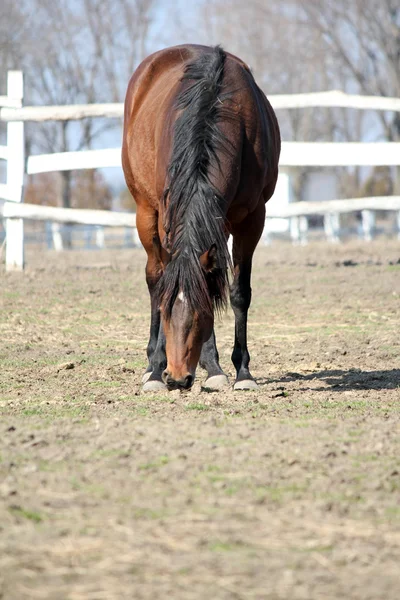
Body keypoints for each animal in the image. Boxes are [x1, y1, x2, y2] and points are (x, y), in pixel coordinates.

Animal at [122, 47, 282, 394]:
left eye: (200, 315)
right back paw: (152, 367)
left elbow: (238, 292)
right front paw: (158, 370)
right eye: (167, 313)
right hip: (145, 211)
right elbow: (163, 283)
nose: (177, 377)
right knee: (154, 277)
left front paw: (241, 372)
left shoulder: (252, 219)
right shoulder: (168, 214)